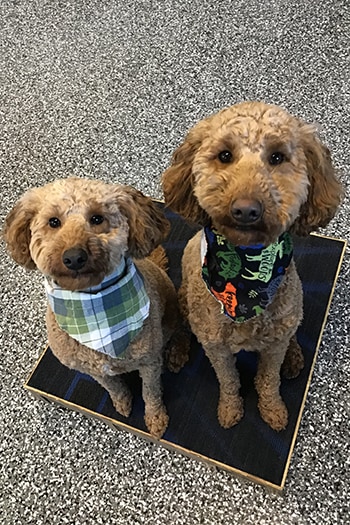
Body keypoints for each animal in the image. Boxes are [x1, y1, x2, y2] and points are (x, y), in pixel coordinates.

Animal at [3, 178, 189, 436]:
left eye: (97, 218)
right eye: (53, 222)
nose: (74, 257)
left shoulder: (149, 362)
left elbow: (151, 393)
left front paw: (156, 419)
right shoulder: (94, 370)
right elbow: (113, 387)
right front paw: (123, 403)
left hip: (171, 311)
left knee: (180, 331)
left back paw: (177, 353)